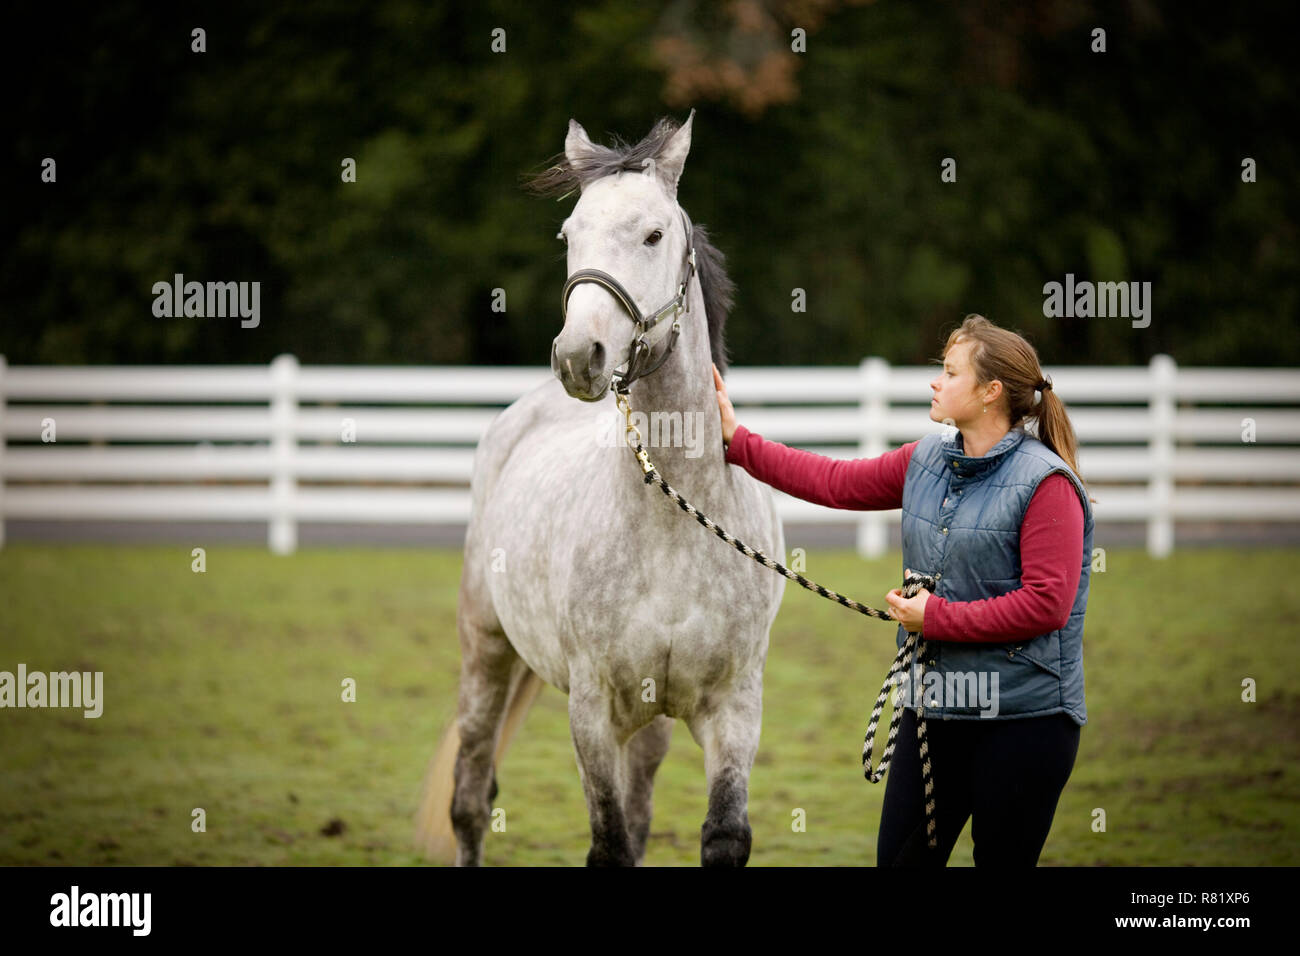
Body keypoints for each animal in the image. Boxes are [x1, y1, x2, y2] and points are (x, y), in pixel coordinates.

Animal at [416, 110, 786, 866]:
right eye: (569, 236)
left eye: (653, 234)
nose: (576, 357)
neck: (676, 523)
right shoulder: (592, 711)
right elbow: (609, 844)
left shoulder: (735, 708)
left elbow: (720, 835)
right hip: (486, 653)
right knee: (469, 799)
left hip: (653, 719)